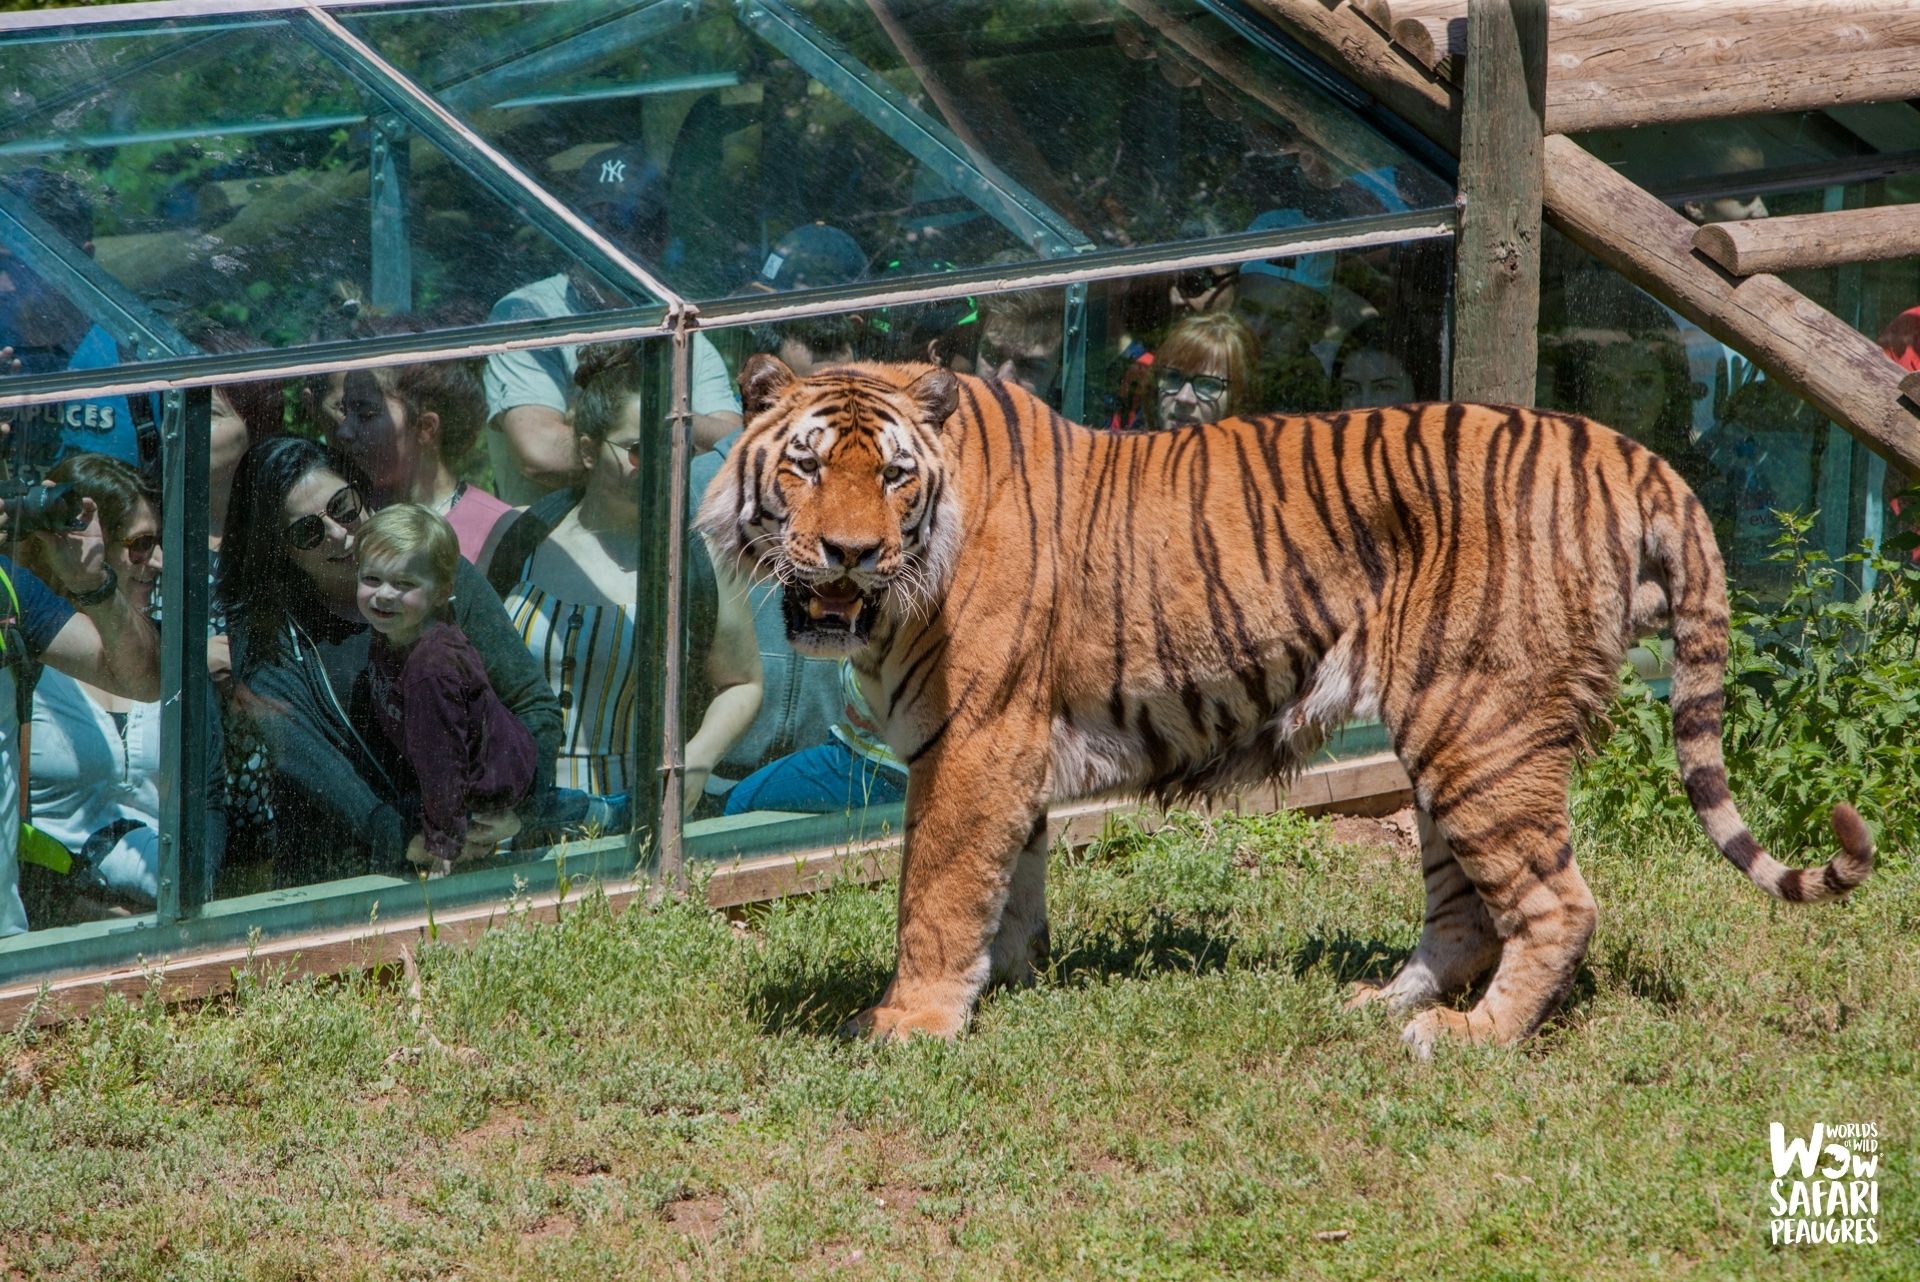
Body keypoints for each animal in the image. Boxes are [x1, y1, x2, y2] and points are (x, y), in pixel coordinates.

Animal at [695, 355, 1873, 1059]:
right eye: (805, 469)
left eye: (894, 478)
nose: (850, 554)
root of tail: (1630, 452)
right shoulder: (1008, 749)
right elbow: (1009, 885)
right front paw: (1014, 980)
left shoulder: (973, 741)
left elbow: (935, 892)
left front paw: (911, 1024)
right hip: (1451, 734)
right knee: (1463, 910)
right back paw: (1388, 1003)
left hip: (1481, 727)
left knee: (1558, 903)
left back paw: (1473, 1041)